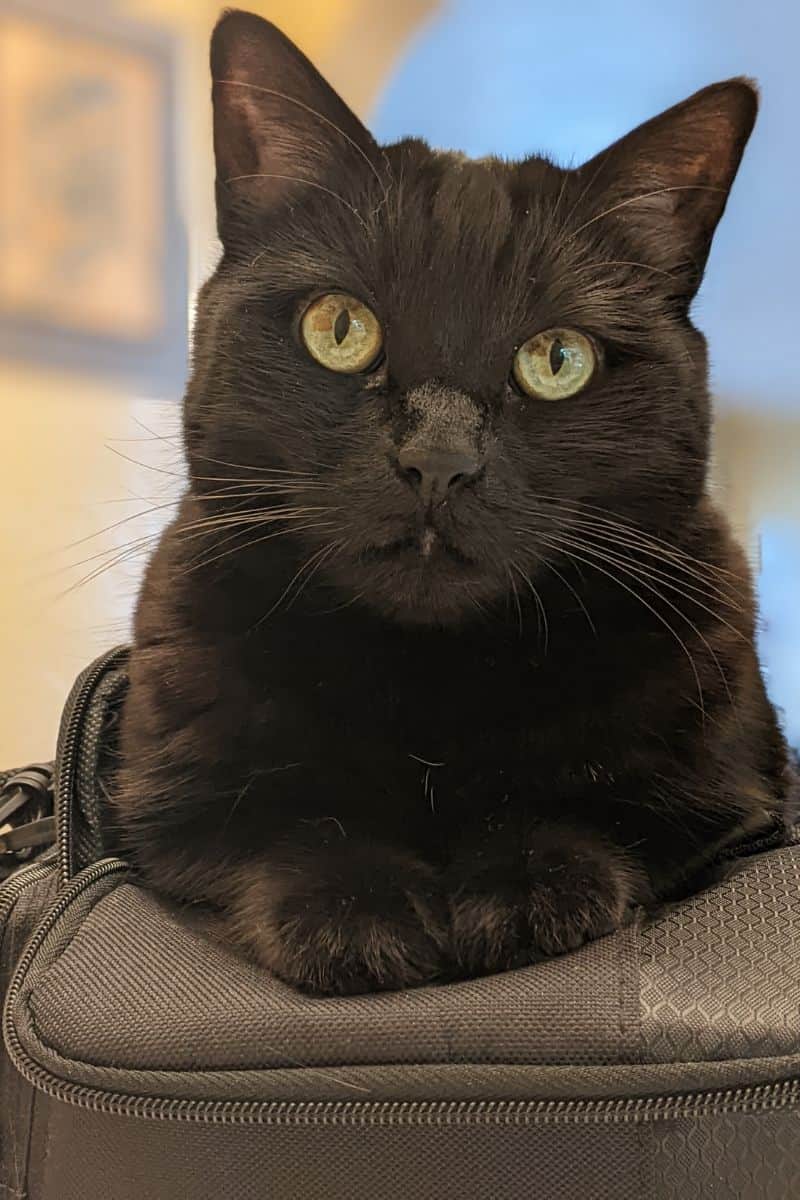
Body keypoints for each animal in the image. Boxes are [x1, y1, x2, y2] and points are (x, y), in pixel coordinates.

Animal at [110, 11, 786, 993]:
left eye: (558, 359)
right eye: (339, 329)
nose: (437, 460)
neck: (429, 685)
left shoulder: (728, 794)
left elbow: (612, 817)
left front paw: (524, 882)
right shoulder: (168, 806)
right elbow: (281, 825)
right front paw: (357, 910)